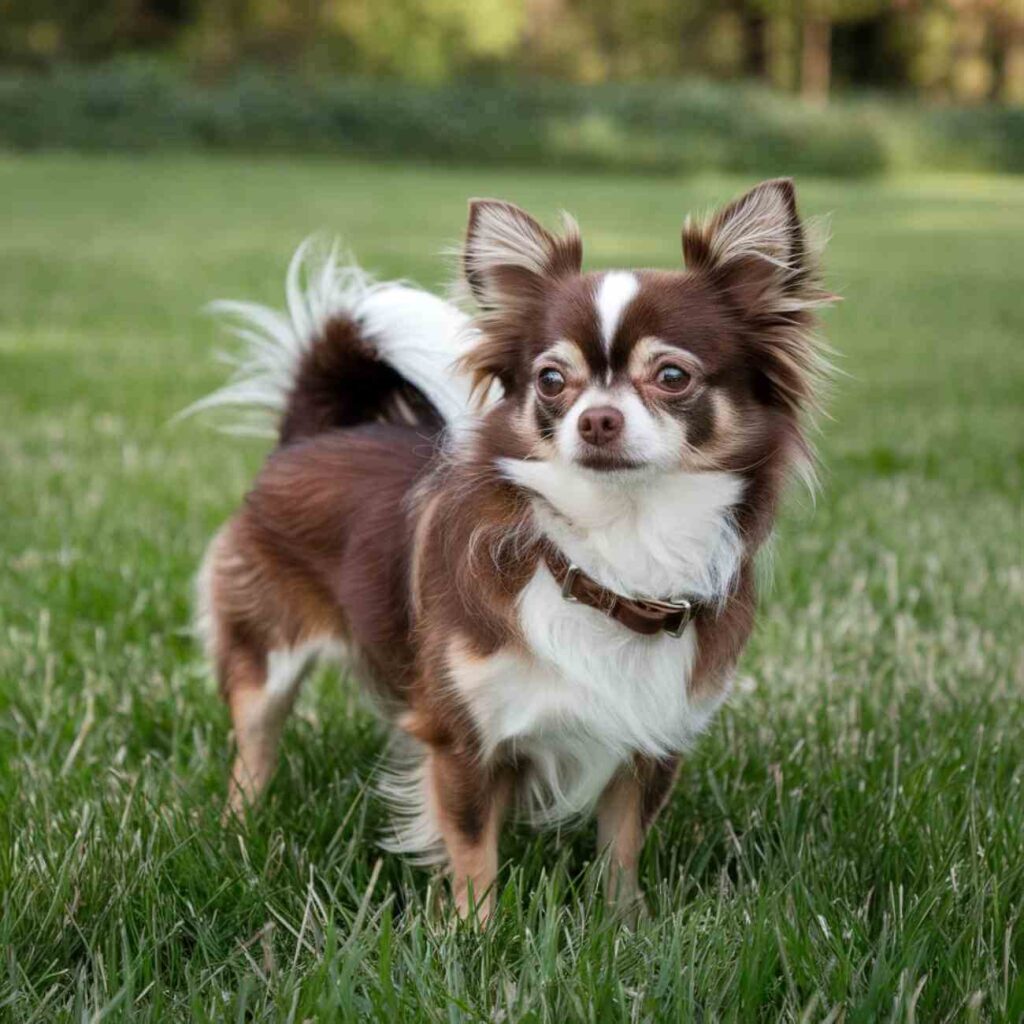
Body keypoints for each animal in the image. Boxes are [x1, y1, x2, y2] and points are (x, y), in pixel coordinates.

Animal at [190, 178, 831, 921]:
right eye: (552, 380)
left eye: (672, 376)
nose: (597, 419)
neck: (617, 548)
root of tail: (310, 437)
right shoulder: (463, 738)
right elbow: (473, 851)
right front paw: (475, 934)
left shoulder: (652, 738)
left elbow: (622, 845)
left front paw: (625, 924)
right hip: (266, 653)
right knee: (254, 745)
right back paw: (240, 833)